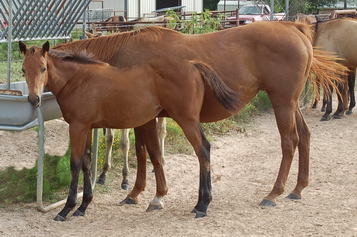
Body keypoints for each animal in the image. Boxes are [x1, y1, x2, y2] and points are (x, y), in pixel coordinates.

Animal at [18, 40, 236, 220]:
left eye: (43, 68)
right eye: (23, 70)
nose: (34, 99)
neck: (78, 80)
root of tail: (192, 64)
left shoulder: (78, 127)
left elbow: (76, 163)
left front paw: (66, 209)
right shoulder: (86, 127)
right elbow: (87, 162)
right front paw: (83, 206)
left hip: (186, 119)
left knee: (202, 149)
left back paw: (203, 205)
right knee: (202, 151)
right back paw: (198, 204)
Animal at [50, 21, 344, 218]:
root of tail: (293, 28)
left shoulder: (145, 119)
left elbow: (151, 153)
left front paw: (151, 195)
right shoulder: (145, 118)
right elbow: (145, 152)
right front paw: (138, 193)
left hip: (281, 103)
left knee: (289, 141)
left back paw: (273, 193)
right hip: (291, 104)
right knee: (304, 137)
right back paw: (298, 188)